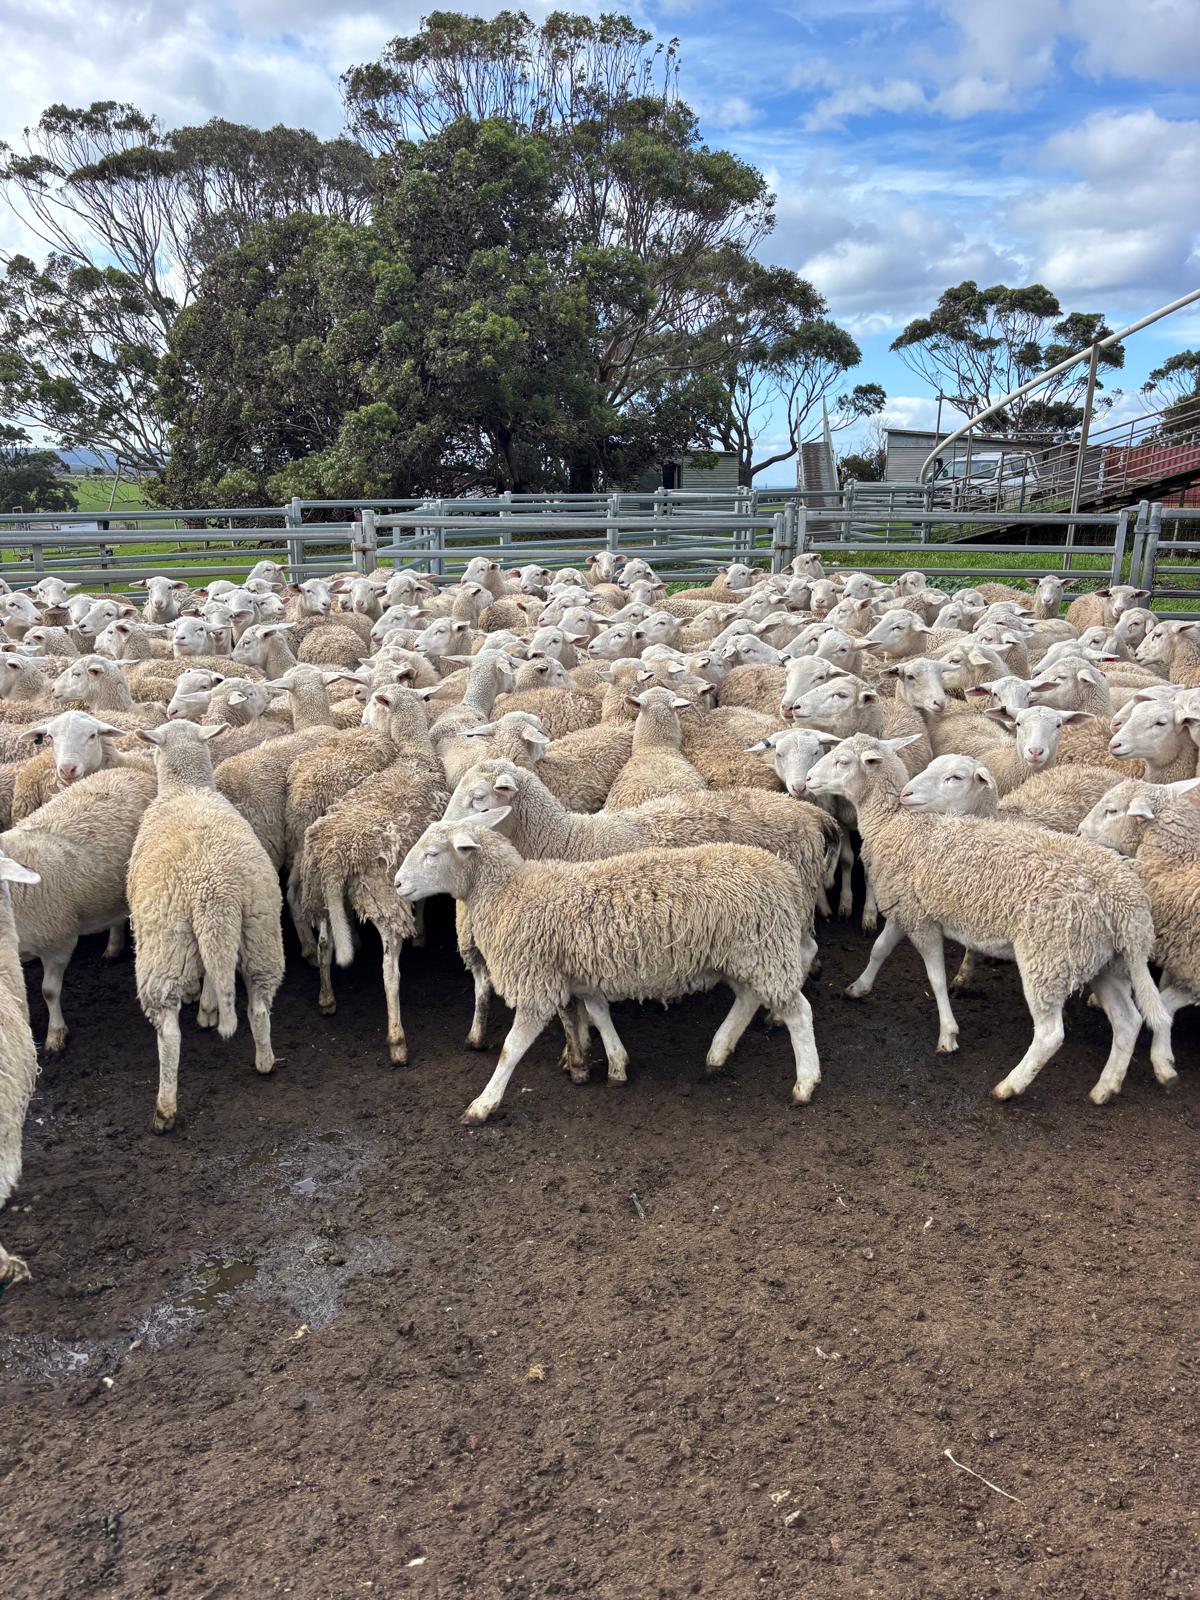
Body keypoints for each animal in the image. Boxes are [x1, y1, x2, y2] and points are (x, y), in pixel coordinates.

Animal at [127, 720, 285, 1131]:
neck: (187, 788)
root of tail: (216, 893)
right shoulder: (215, 940)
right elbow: (216, 975)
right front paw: (211, 1010)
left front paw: (204, 1011)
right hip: (259, 932)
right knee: (258, 1006)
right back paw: (264, 1061)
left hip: (166, 947)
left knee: (169, 1033)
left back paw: (164, 1110)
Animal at [396, 816, 821, 1121]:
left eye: (432, 853)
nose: (398, 883)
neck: (510, 893)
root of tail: (785, 875)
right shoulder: (583, 976)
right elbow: (599, 1016)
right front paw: (616, 1065)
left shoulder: (536, 984)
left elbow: (510, 1049)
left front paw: (483, 1104)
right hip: (744, 953)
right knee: (749, 997)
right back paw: (718, 1053)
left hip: (763, 949)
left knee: (799, 1012)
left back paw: (805, 1084)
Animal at [805, 733, 1174, 1103]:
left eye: (842, 762)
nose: (807, 780)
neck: (894, 822)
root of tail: (1126, 905)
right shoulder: (908, 908)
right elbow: (879, 950)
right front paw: (858, 987)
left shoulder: (921, 922)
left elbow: (936, 979)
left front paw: (948, 1035)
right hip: (1102, 961)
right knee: (1128, 1022)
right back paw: (1104, 1089)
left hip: (1049, 957)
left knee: (1051, 1034)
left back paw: (1010, 1085)